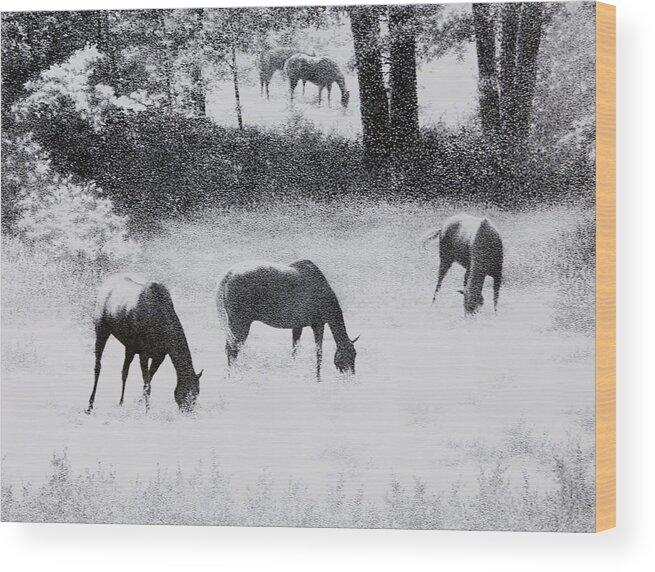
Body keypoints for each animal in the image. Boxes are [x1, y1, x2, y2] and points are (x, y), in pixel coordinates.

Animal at [86, 274, 202, 414]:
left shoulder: (159, 356)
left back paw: (121, 402)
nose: (188, 412)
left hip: (129, 347)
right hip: (102, 330)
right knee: (98, 366)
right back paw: (90, 405)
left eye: (197, 393)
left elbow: (148, 381)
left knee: (124, 371)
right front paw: (147, 411)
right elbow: (147, 385)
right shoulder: (144, 354)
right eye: (186, 392)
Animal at [215, 260, 358, 380]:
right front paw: (318, 378)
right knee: (233, 349)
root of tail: (228, 275)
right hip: (241, 324)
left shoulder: (297, 327)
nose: (351, 376)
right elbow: (319, 353)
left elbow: (294, 349)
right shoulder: (318, 325)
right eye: (350, 355)